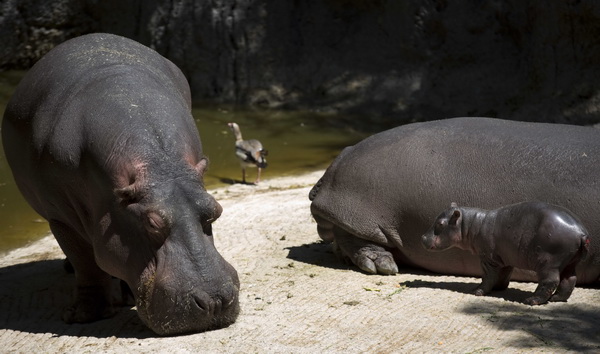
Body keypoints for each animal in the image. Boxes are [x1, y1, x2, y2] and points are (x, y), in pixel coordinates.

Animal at [2, 33, 241, 334]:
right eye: (151, 223)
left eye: (215, 211)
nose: (214, 301)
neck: (158, 166)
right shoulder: (60, 219)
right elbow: (86, 263)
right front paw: (83, 316)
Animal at [422, 202, 592, 304]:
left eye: (440, 223)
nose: (422, 237)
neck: (470, 224)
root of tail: (580, 232)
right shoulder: (504, 258)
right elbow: (503, 275)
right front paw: (499, 288)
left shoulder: (488, 259)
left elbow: (488, 277)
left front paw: (477, 291)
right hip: (570, 262)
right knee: (569, 280)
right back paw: (557, 298)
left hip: (549, 263)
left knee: (550, 281)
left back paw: (531, 300)